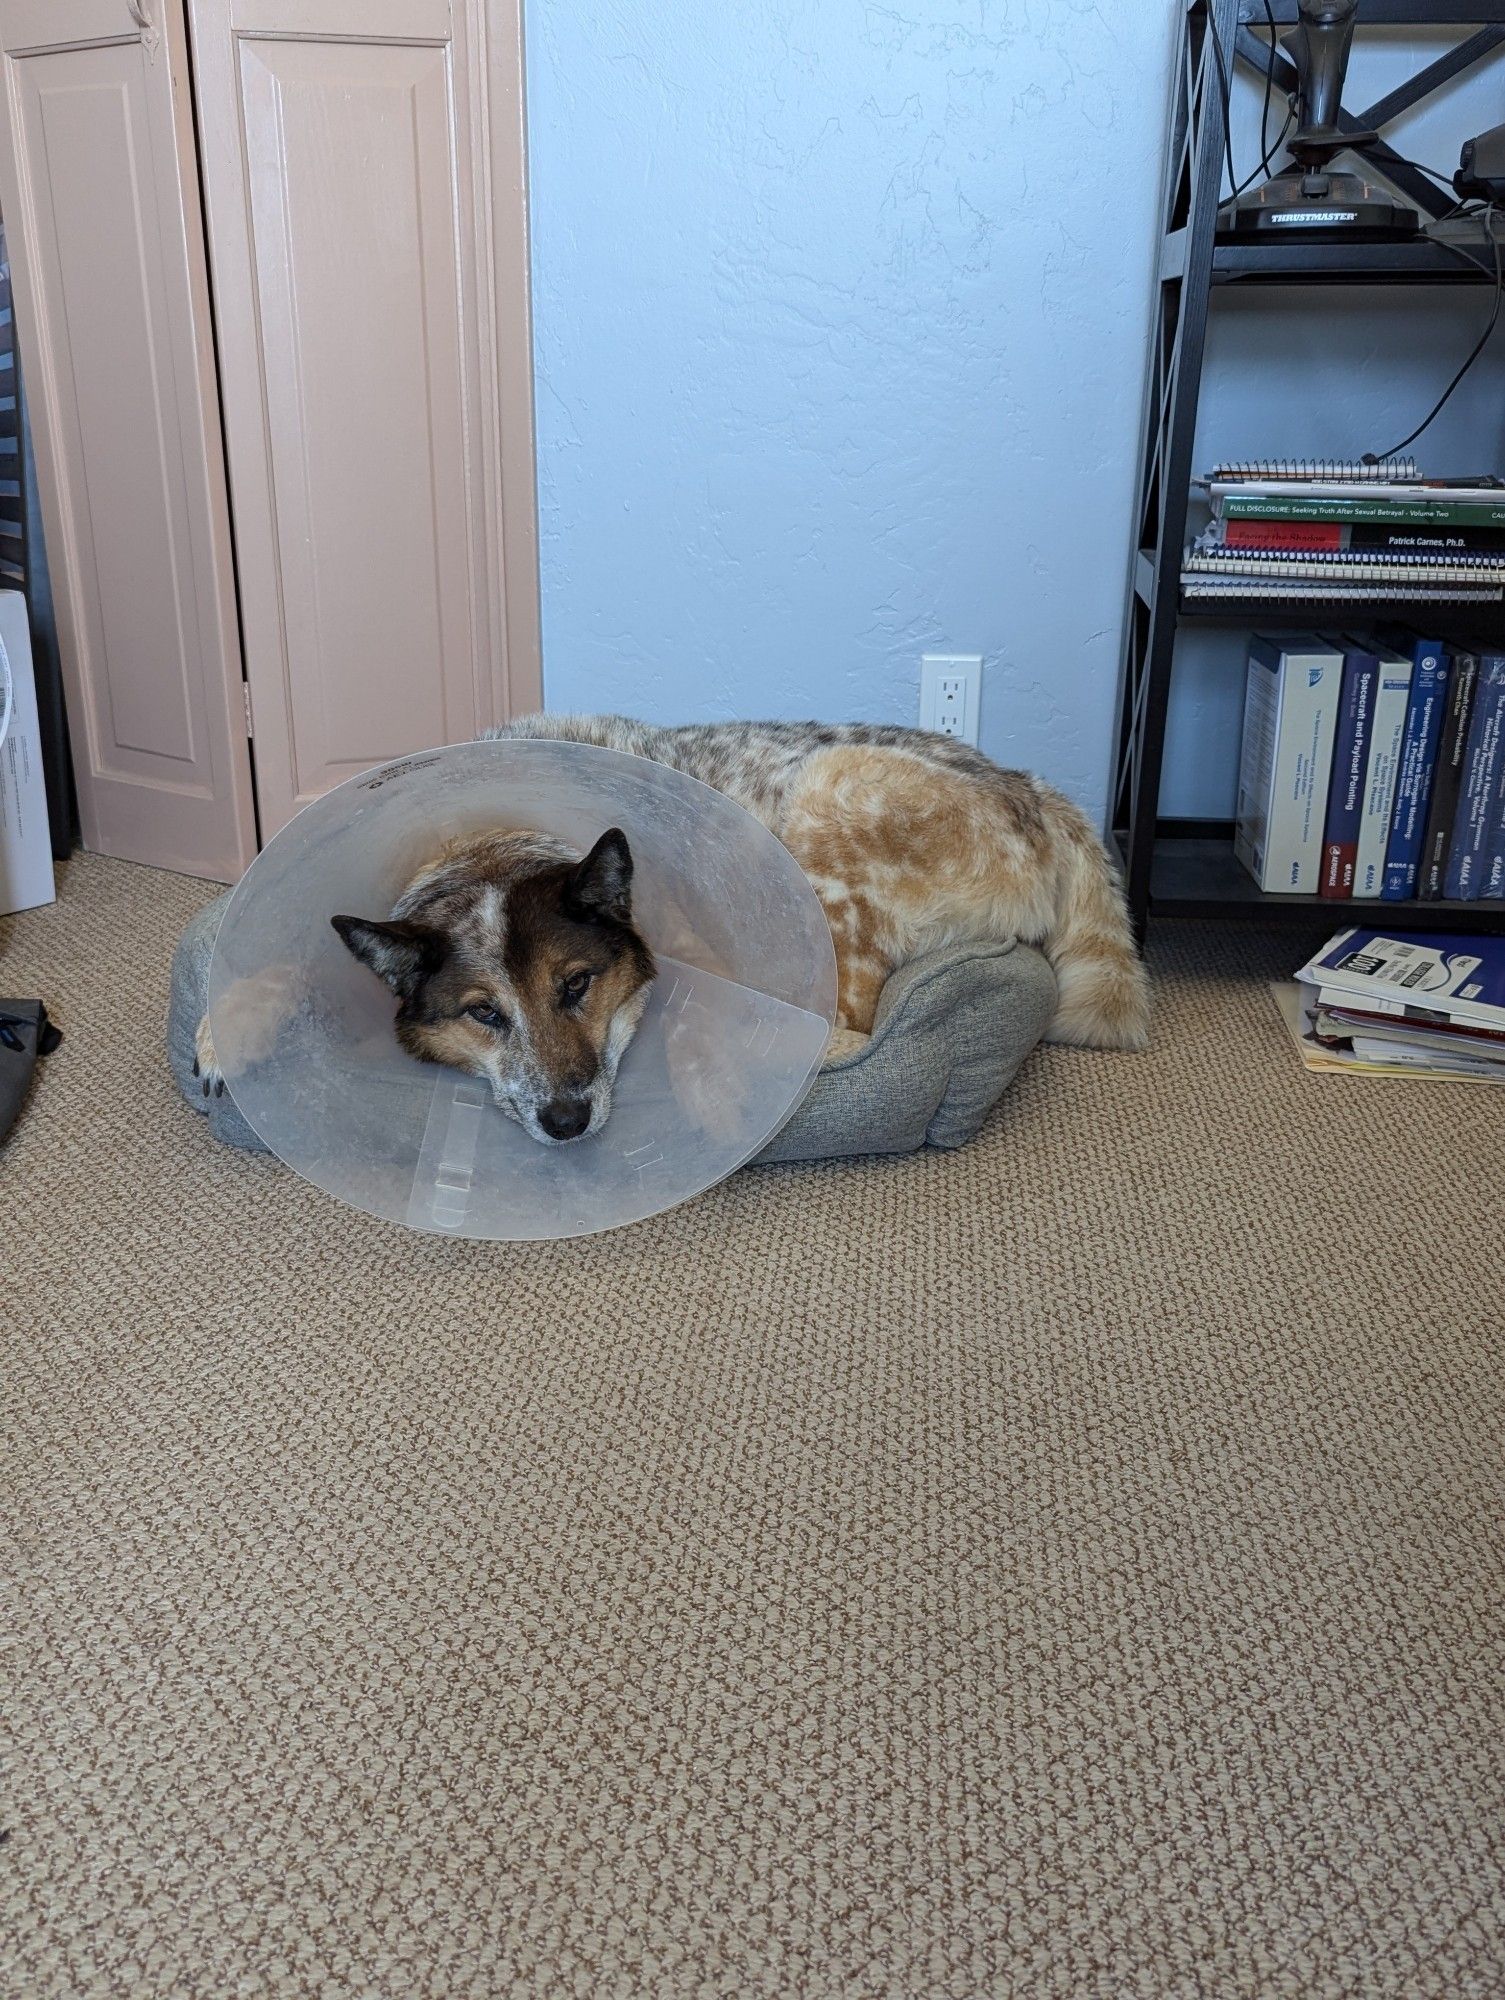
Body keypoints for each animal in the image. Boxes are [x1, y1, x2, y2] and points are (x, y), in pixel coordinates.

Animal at [194, 720, 1144, 1144]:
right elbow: (279, 964)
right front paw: (219, 1029)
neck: (490, 841)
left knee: (846, 1022)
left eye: (576, 987)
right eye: (482, 1014)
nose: (567, 1121)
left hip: (830, 801)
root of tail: (1039, 791)